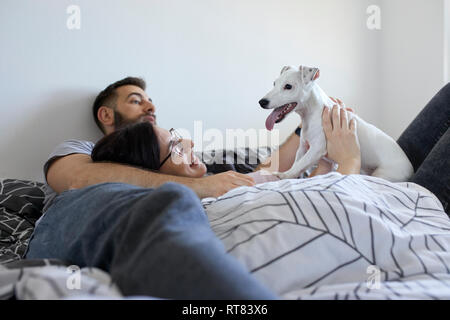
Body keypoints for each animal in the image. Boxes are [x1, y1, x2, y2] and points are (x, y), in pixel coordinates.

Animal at [258, 64, 414, 182]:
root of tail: (410, 168)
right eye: (274, 83)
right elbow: (297, 163)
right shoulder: (302, 147)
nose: (261, 102)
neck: (313, 114)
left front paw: (283, 175)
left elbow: (299, 165)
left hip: (384, 174)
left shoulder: (316, 148)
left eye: (288, 86)